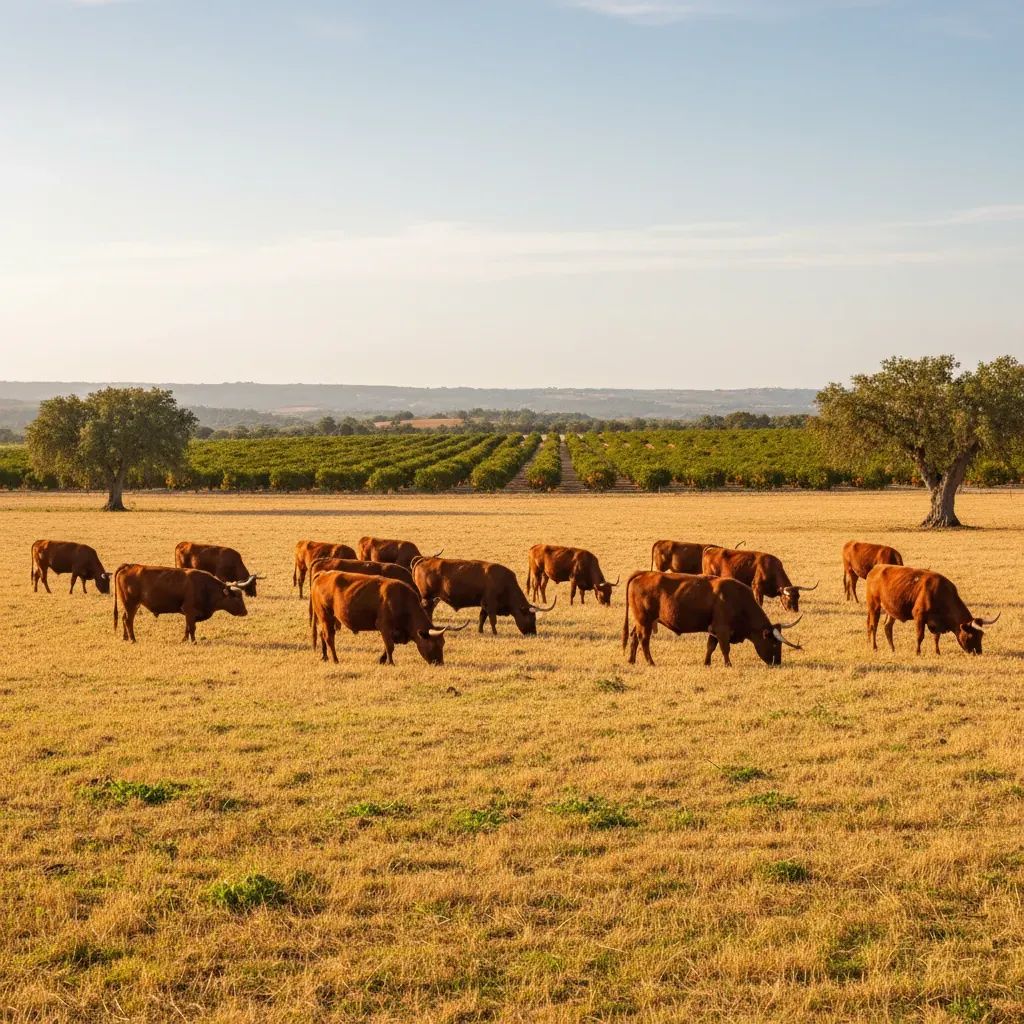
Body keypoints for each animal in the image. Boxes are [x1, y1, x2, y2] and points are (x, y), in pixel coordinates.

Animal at [113, 564, 248, 643]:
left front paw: (184, 640)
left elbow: (187, 626)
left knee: (124, 618)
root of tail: (128, 566)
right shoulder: (190, 610)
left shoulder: (188, 614)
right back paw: (133, 639)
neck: (205, 587)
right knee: (128, 621)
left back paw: (125, 637)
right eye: (236, 597)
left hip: (130, 605)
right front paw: (193, 641)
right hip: (131, 604)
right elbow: (192, 627)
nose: (245, 612)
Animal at [309, 570, 463, 666]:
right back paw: (335, 659)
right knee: (329, 637)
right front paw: (390, 662)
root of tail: (323, 574)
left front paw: (382, 659)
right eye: (433, 644)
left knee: (323, 634)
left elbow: (387, 645)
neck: (402, 601)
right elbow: (389, 646)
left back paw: (325, 656)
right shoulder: (384, 626)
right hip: (326, 616)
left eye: (442, 643)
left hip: (327, 619)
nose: (439, 663)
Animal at [412, 556, 555, 635]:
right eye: (531, 618)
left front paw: (480, 631)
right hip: (427, 598)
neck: (505, 584)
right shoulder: (491, 604)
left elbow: (482, 618)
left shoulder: (484, 604)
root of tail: (425, 559)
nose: (533, 633)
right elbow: (492, 620)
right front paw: (495, 633)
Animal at [622, 571, 803, 667]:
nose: (777, 662)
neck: (737, 599)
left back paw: (631, 660)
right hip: (645, 621)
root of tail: (643, 573)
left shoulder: (713, 629)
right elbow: (724, 648)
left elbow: (710, 646)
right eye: (775, 643)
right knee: (644, 640)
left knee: (634, 637)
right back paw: (650, 662)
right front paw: (728, 664)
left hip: (641, 621)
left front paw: (706, 663)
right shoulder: (722, 629)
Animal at [865, 565, 999, 656]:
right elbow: (920, 636)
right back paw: (874, 647)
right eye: (971, 635)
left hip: (890, 611)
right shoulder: (919, 617)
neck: (939, 593)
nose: (979, 652)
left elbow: (936, 637)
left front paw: (937, 652)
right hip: (874, 607)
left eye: (981, 635)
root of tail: (876, 568)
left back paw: (892, 649)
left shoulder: (936, 622)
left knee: (887, 627)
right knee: (873, 627)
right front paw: (918, 652)